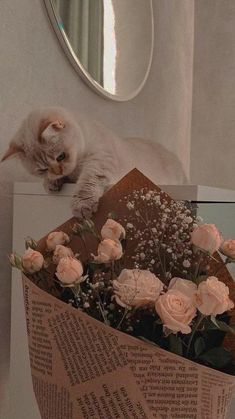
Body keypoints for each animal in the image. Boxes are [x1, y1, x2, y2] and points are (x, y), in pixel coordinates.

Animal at [0, 108, 186, 218]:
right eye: (43, 169)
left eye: (61, 156)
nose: (58, 171)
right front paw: (52, 183)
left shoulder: (100, 160)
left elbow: (86, 184)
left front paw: (82, 206)